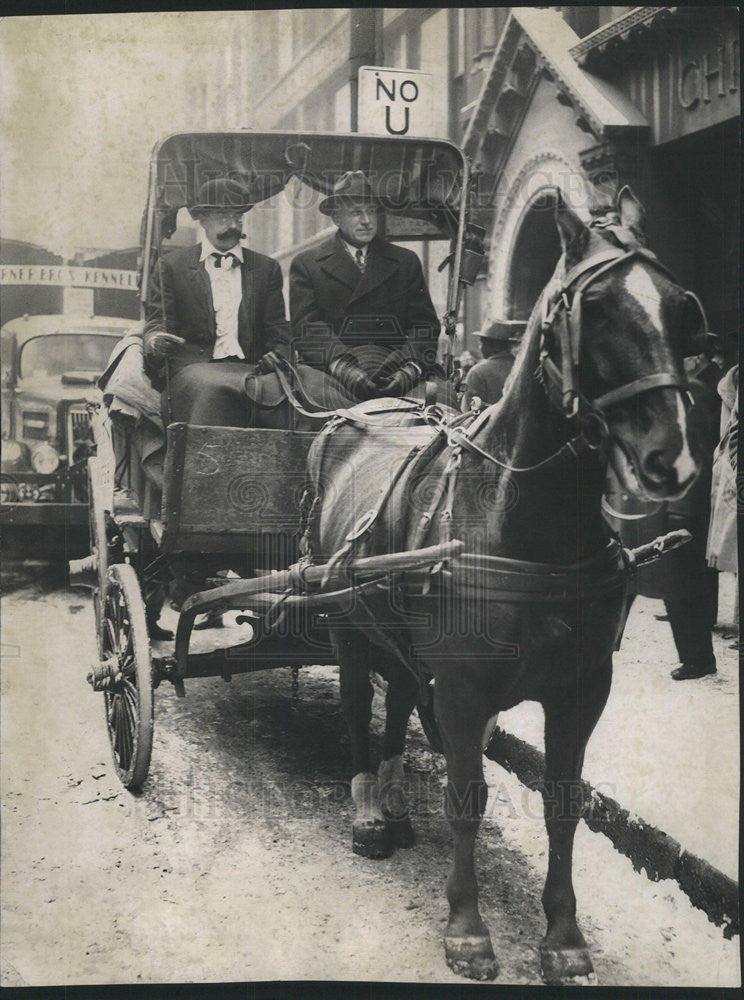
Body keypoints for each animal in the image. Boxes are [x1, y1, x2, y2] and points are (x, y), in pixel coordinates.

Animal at [302, 189, 704, 984]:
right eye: (597, 309)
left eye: (680, 308)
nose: (669, 458)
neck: (524, 523)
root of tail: (355, 414)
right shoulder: (463, 689)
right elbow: (467, 796)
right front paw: (466, 928)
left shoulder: (582, 689)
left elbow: (563, 803)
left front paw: (564, 934)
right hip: (343, 619)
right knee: (361, 701)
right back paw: (369, 812)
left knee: (398, 697)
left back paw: (395, 803)